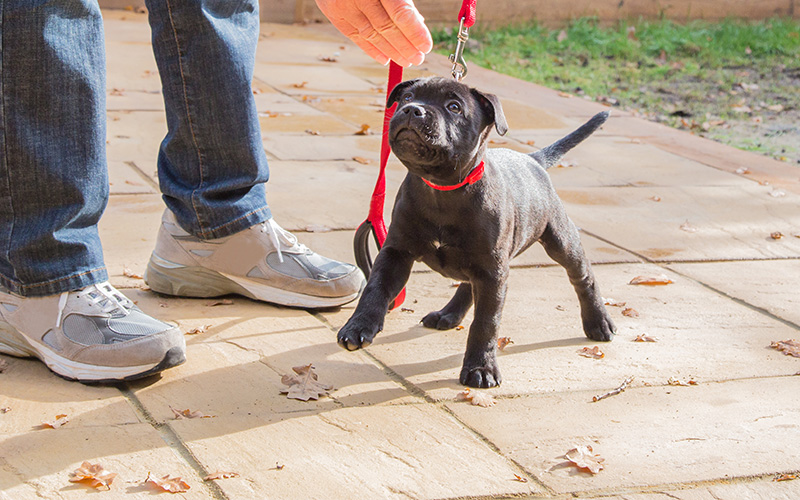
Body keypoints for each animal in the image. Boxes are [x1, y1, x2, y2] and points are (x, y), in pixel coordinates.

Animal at [334, 76, 616, 388]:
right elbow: (376, 288)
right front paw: (358, 326)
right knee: (468, 284)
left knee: (583, 277)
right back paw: (448, 313)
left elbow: (486, 322)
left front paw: (481, 367)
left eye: (454, 107)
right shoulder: (396, 252)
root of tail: (533, 160)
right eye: (407, 97)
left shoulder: (493, 272)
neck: (442, 188)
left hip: (559, 240)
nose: (412, 110)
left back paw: (598, 322)